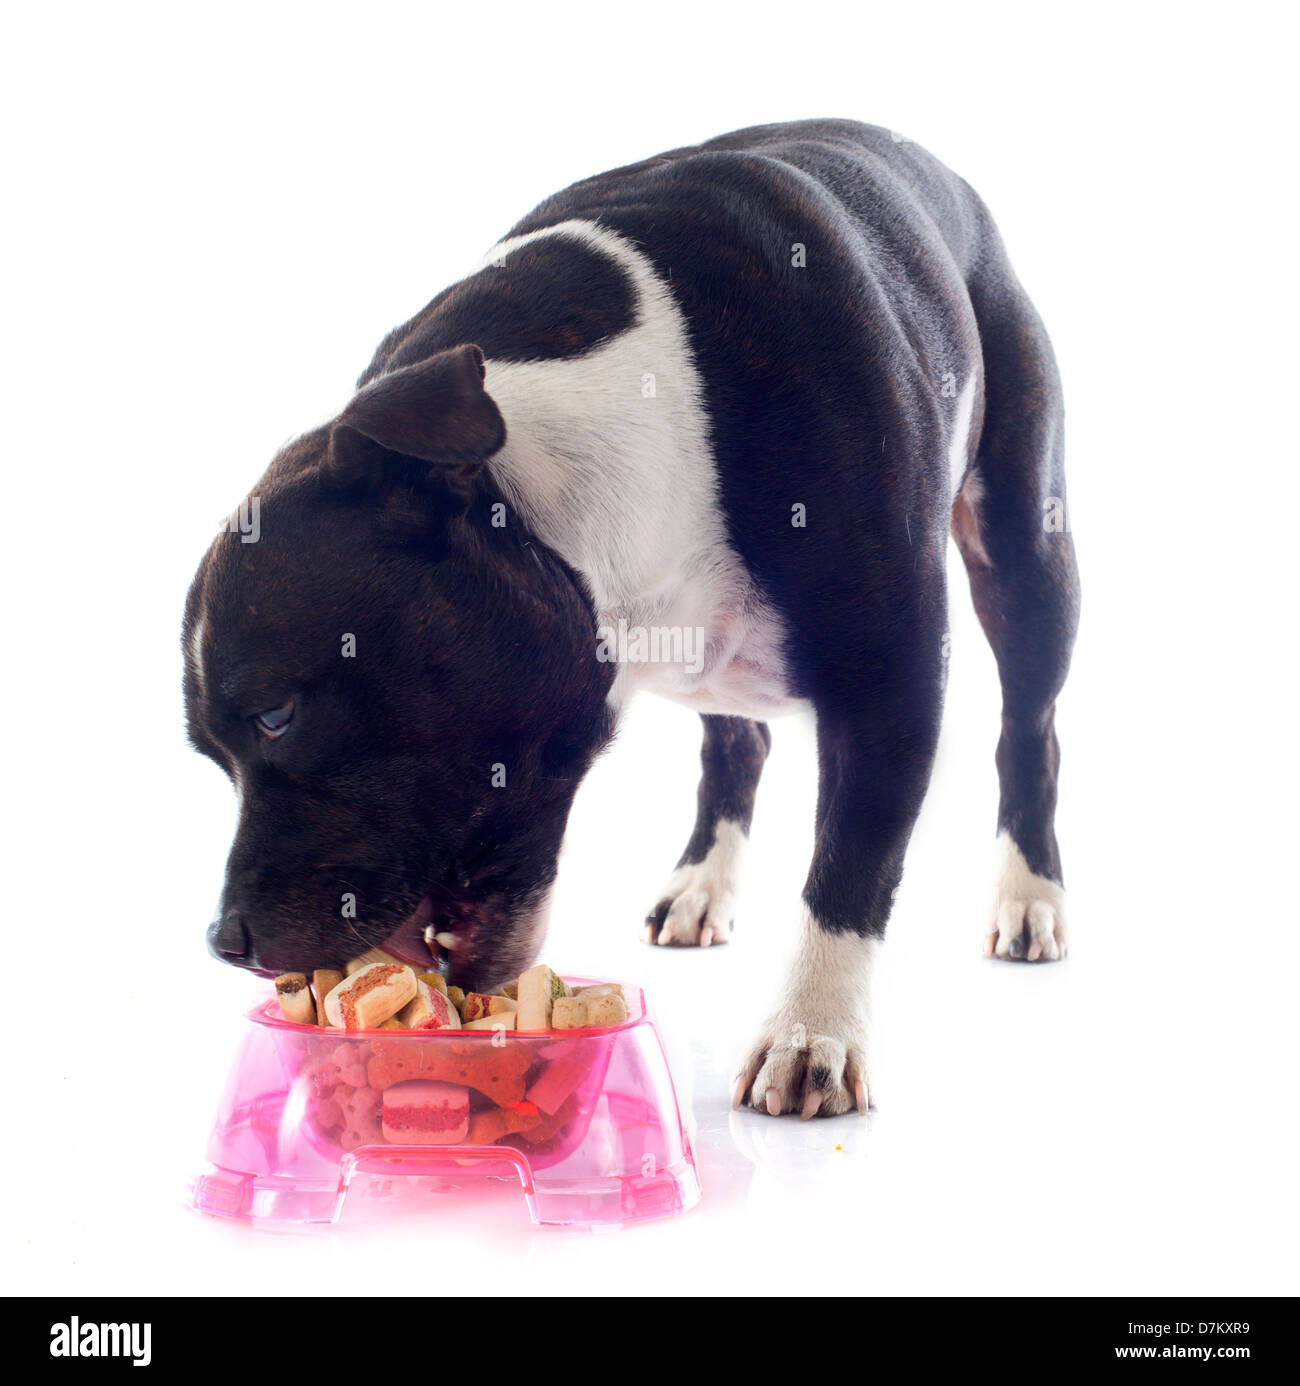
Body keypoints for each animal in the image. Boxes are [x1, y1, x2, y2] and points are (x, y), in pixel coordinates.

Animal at [182, 119, 1075, 1114]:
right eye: (210, 754)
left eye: (276, 716)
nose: (225, 940)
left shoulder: (893, 683)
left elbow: (851, 867)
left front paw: (812, 1034)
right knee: (738, 742)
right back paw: (700, 885)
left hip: (1024, 551)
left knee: (1029, 726)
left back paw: (1031, 894)